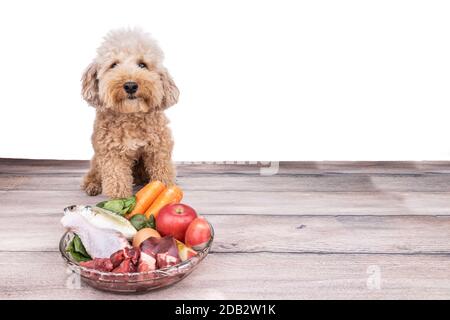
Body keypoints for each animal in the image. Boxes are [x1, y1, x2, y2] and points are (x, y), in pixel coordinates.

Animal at [81, 28, 179, 198]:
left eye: (142, 64)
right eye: (113, 65)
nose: (131, 85)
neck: (131, 115)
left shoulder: (159, 149)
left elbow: (163, 173)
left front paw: (166, 193)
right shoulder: (111, 153)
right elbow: (117, 181)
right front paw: (119, 201)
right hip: (97, 159)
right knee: (93, 173)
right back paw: (92, 185)